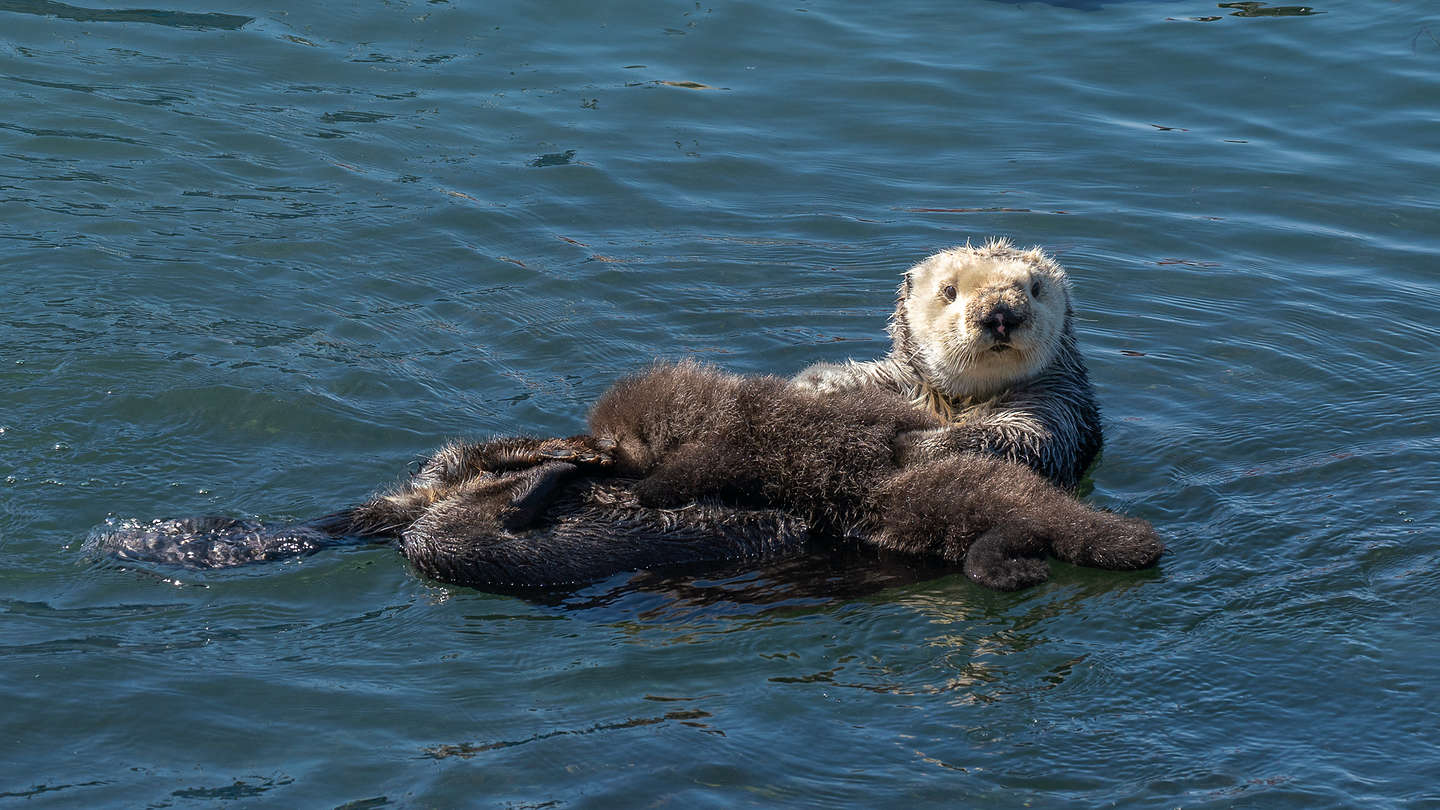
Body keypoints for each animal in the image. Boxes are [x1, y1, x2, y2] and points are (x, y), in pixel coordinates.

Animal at [794, 236, 1094, 490]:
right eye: (950, 290)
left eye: (1036, 288)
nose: (1000, 315)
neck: (961, 399)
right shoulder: (903, 380)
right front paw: (818, 385)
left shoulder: (1056, 405)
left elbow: (1017, 438)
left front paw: (912, 444)